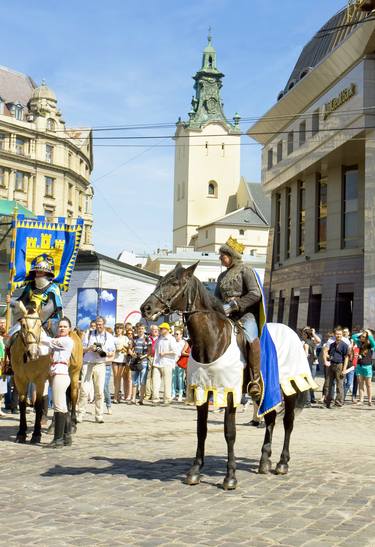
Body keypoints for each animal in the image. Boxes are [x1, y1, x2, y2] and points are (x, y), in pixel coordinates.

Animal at [10, 304, 83, 446]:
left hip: (74, 375)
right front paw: (21, 433)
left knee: (73, 396)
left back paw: (72, 424)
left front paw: (36, 435)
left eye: (39, 325)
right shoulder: (20, 379)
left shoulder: (39, 381)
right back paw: (53, 427)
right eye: (23, 325)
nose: (33, 352)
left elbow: (38, 405)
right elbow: (22, 404)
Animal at [141, 264, 308, 490]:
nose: (146, 309)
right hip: (267, 390)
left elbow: (230, 433)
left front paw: (230, 477)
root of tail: (292, 333)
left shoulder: (230, 394)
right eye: (159, 282)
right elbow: (201, 430)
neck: (213, 339)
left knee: (288, 422)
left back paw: (282, 463)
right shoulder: (202, 392)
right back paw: (264, 461)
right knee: (271, 418)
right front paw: (195, 471)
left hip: (290, 387)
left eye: (175, 283)